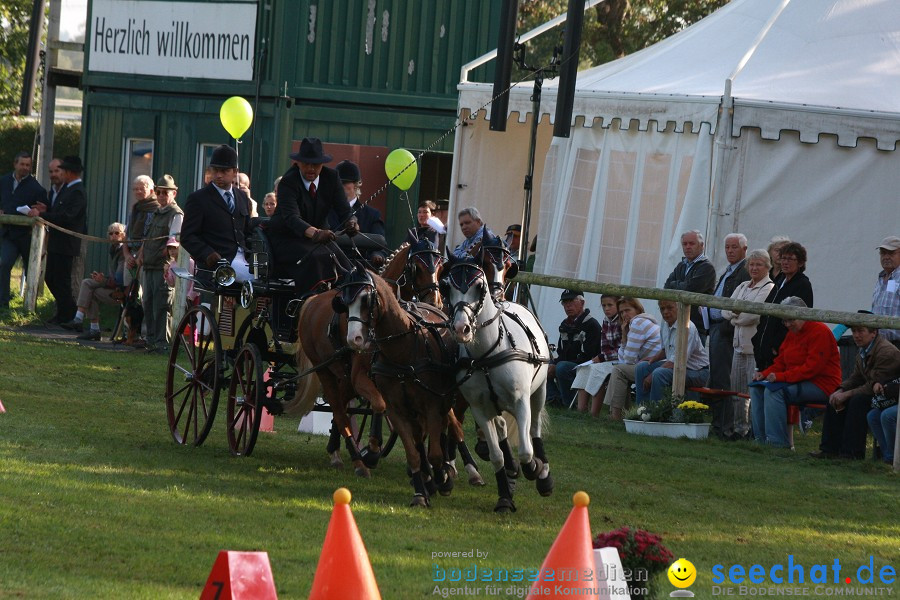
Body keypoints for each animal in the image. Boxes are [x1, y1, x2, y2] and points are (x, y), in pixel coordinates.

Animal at [444, 253, 556, 510]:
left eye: (478, 286)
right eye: (447, 287)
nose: (461, 328)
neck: (489, 353)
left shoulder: (521, 401)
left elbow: (526, 450)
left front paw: (533, 469)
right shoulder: (479, 408)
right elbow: (496, 456)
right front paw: (504, 496)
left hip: (540, 392)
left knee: (534, 429)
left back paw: (543, 473)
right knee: (502, 426)